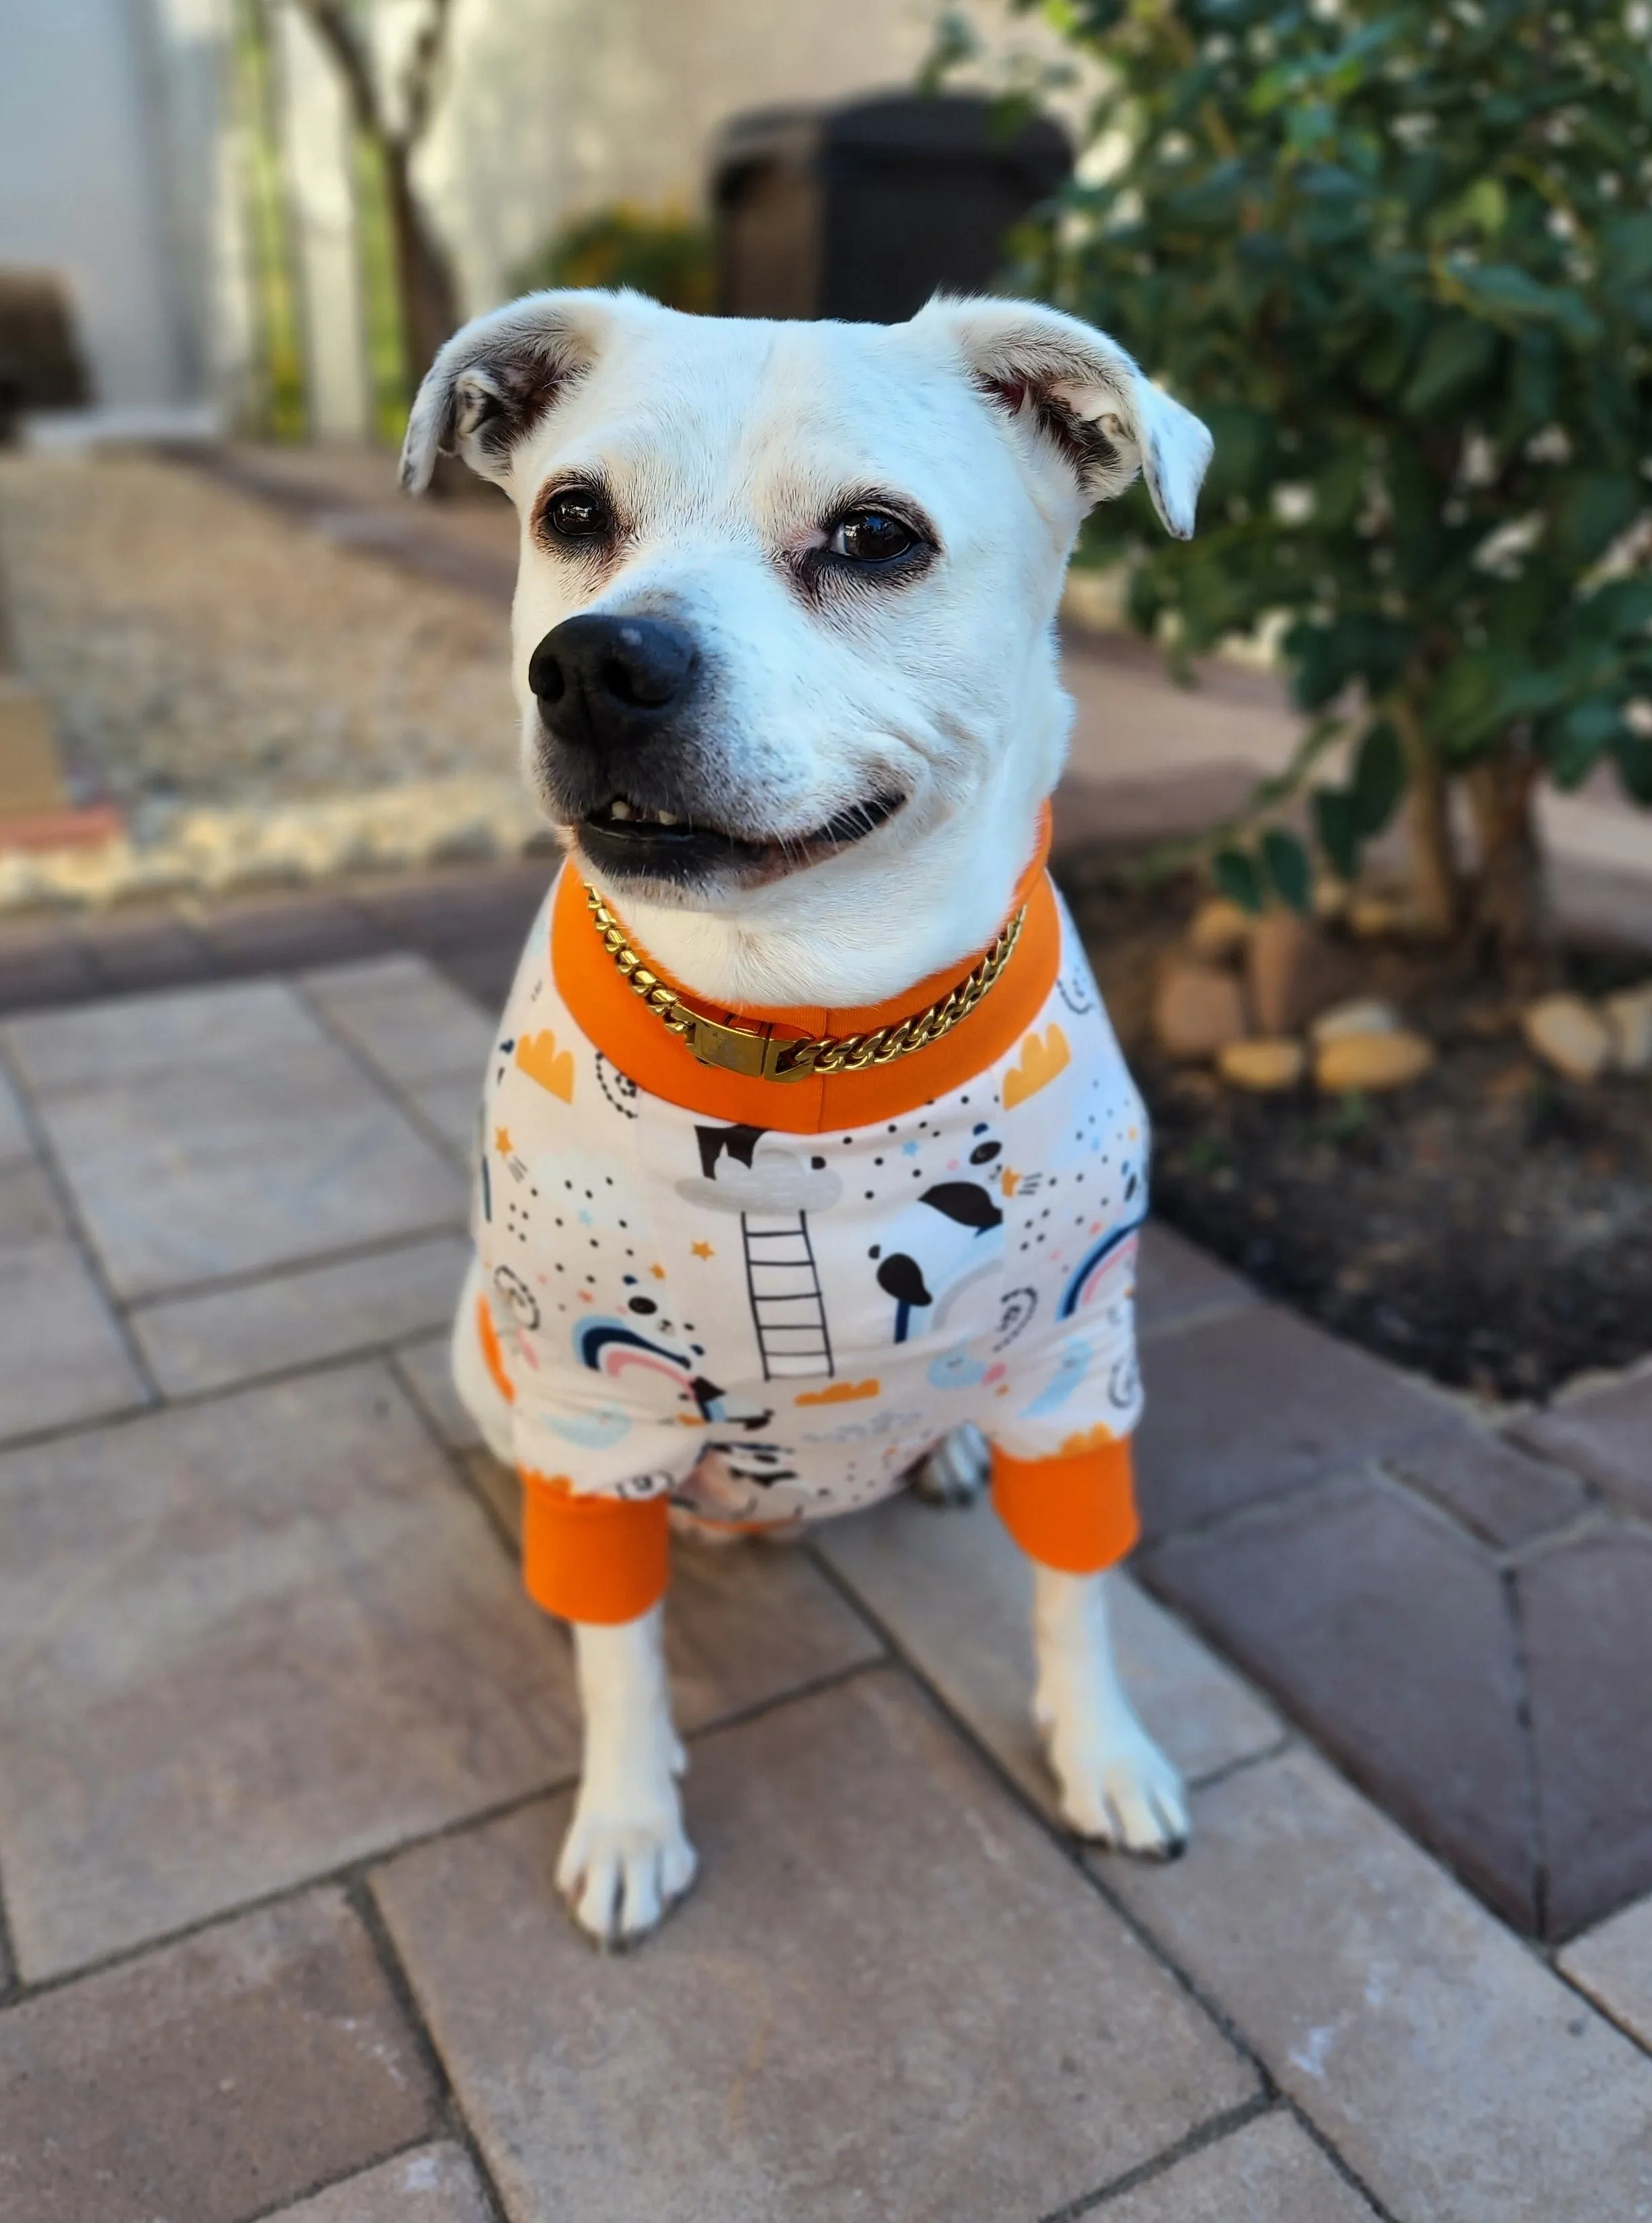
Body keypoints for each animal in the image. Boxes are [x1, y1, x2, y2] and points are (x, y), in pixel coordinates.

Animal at [400, 291, 1218, 1947]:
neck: (804, 1041)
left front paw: (1103, 1756)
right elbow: (617, 1648)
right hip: (490, 1351)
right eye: (572, 514)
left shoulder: (1078, 1367)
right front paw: (628, 1817)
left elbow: (1077, 1590)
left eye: (874, 536)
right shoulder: (596, 1414)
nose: (597, 665)